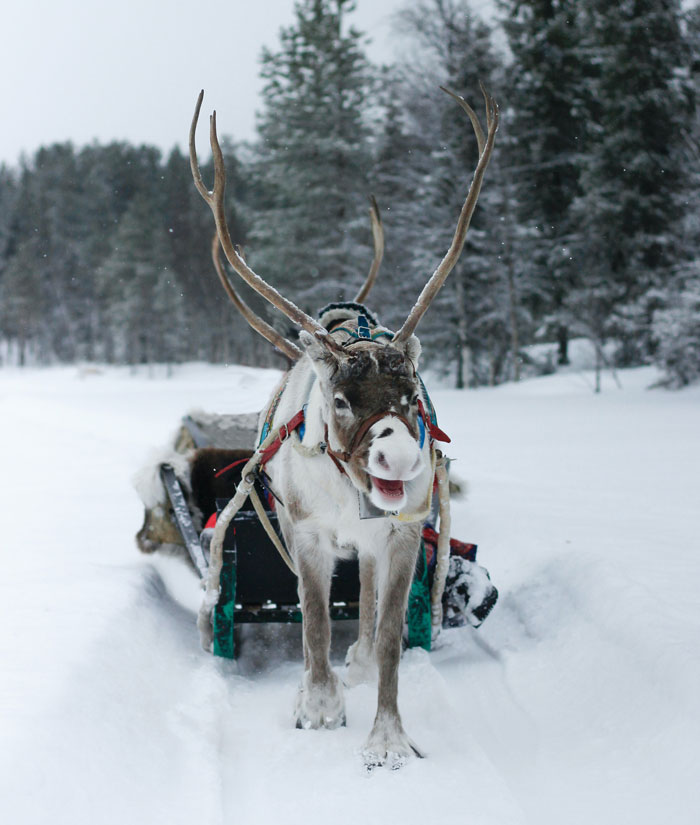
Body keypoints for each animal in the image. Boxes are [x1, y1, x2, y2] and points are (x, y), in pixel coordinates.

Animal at [189, 85, 498, 769]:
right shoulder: (305, 533)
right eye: (340, 399)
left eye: (410, 395)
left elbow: (386, 634)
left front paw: (387, 739)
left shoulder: (402, 535)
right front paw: (319, 706)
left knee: (369, 600)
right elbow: (313, 621)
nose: (400, 461)